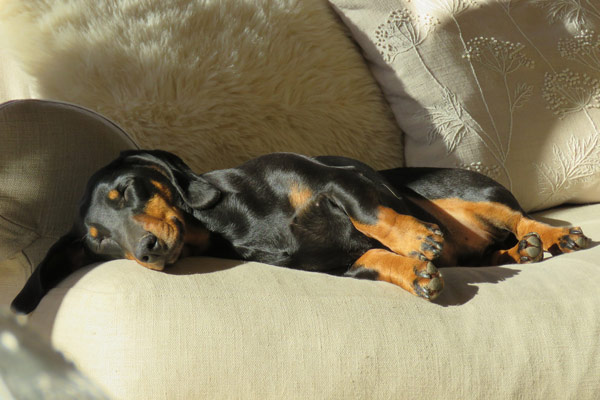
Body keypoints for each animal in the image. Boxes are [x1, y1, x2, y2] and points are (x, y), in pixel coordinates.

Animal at [10, 150, 592, 312]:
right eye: (99, 240)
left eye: (126, 191)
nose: (148, 250)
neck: (227, 221)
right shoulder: (334, 265)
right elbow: (374, 259)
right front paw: (416, 273)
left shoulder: (337, 179)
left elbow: (372, 214)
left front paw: (415, 242)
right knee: (499, 247)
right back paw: (524, 251)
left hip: (453, 191)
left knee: (518, 217)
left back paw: (555, 235)